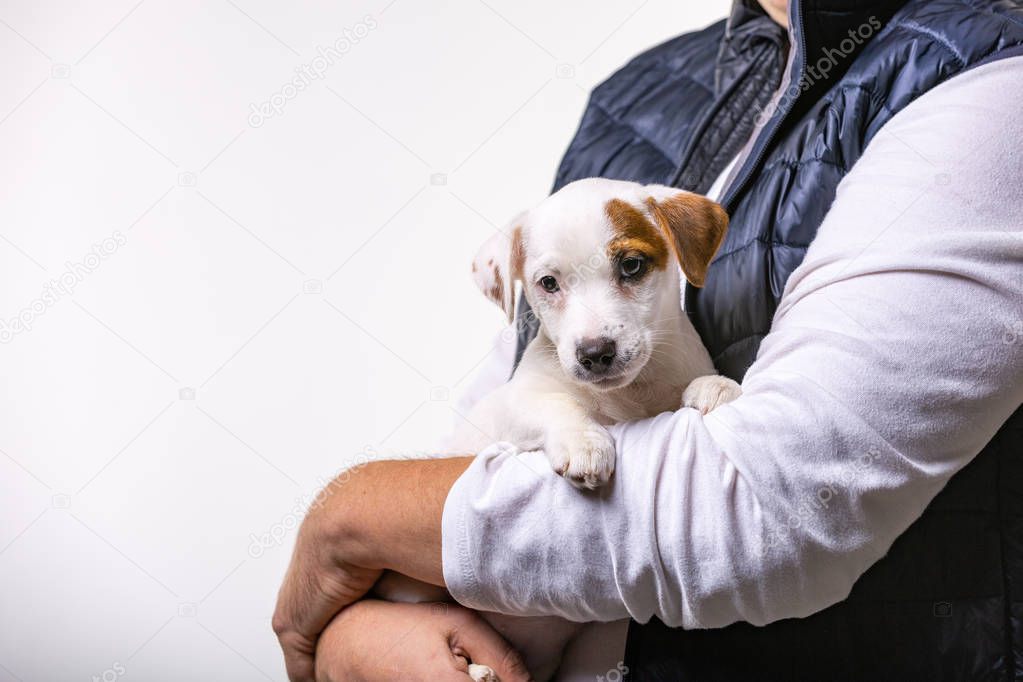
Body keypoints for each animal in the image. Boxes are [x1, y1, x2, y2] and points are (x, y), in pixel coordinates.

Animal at [376, 177, 744, 682]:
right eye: (548, 283)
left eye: (631, 265)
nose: (595, 353)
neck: (630, 396)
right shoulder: (520, 400)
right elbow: (557, 404)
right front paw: (584, 441)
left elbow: (701, 383)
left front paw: (716, 387)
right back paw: (478, 670)